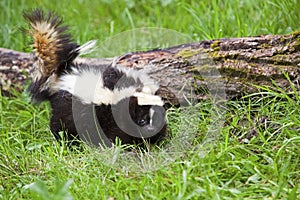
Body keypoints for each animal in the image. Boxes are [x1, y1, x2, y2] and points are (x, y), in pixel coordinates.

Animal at [24, 9, 166, 147]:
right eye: (142, 120)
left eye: (158, 118)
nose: (151, 129)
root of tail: (65, 73)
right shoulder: (113, 116)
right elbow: (118, 135)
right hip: (65, 109)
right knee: (60, 126)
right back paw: (66, 143)